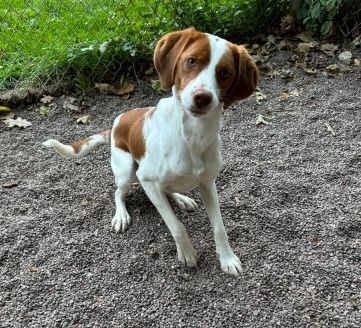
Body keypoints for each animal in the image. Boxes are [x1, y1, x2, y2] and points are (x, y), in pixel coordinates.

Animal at [43, 28, 258, 276]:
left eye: (224, 72)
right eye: (191, 61)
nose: (202, 98)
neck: (192, 136)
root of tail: (116, 124)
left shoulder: (207, 183)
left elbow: (219, 227)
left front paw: (227, 258)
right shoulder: (146, 179)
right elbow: (176, 225)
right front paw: (187, 253)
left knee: (165, 190)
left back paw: (181, 198)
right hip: (127, 172)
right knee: (119, 193)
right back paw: (122, 215)